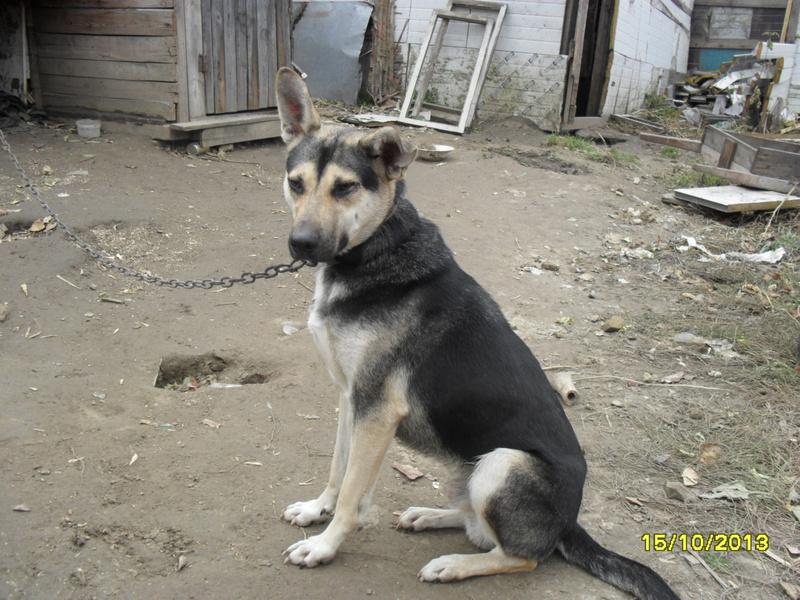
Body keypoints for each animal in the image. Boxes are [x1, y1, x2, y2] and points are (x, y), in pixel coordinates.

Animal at [274, 67, 680, 600]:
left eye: (345, 188)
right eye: (295, 184)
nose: (301, 244)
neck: (376, 251)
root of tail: (568, 523)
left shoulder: (377, 411)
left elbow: (352, 495)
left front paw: (325, 545)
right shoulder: (351, 399)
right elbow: (337, 472)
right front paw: (315, 510)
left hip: (502, 464)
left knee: (520, 556)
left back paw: (453, 565)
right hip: (470, 468)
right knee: (474, 523)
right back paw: (429, 516)